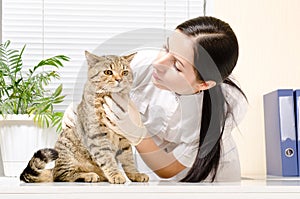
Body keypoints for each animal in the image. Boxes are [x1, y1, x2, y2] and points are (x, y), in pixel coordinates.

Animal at [19, 51, 149, 183]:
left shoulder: (124, 137)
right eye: (108, 72)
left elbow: (128, 160)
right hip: (66, 154)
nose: (119, 79)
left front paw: (135, 174)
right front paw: (116, 175)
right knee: (62, 176)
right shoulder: (97, 135)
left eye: (125, 72)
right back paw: (89, 175)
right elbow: (107, 159)